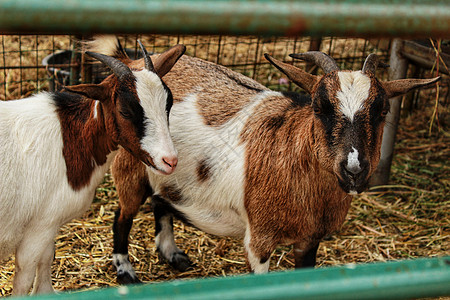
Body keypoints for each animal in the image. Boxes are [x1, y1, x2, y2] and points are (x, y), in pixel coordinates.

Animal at [0, 42, 185, 296]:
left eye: (169, 103)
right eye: (125, 111)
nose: (170, 160)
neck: (71, 139)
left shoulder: (49, 224)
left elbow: (46, 259)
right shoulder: (36, 229)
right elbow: (24, 277)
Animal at [92, 36, 440, 282]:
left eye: (383, 111)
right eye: (319, 107)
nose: (354, 169)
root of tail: (132, 63)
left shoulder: (310, 240)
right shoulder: (258, 240)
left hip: (167, 171)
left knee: (161, 201)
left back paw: (173, 255)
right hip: (129, 169)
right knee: (122, 216)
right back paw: (126, 272)